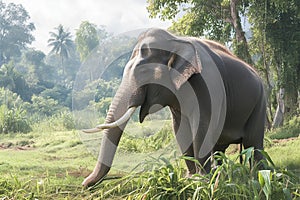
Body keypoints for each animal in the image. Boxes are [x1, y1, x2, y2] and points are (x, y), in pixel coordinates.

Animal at [81, 28, 266, 188]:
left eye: (144, 72)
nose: (84, 184)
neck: (175, 40)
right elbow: (180, 130)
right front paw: (191, 179)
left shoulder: (208, 84)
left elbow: (202, 128)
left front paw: (202, 181)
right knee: (221, 147)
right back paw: (221, 174)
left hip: (260, 103)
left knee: (253, 143)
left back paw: (257, 177)